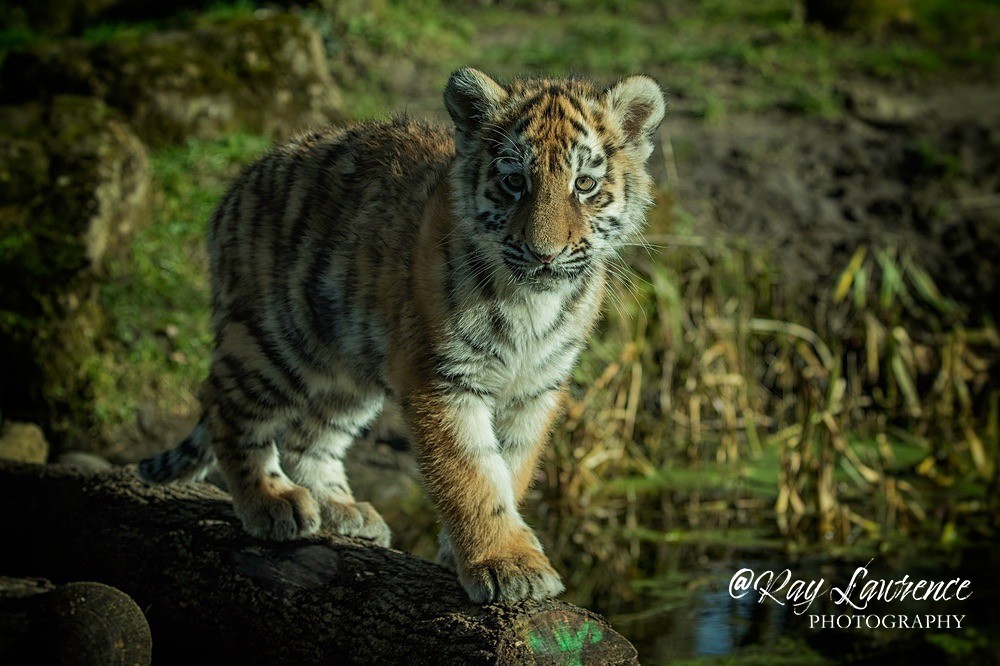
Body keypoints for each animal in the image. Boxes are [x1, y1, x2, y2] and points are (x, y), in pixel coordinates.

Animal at [139, 67, 665, 604]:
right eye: (515, 182)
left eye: (585, 185)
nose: (545, 254)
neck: (532, 303)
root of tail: (236, 187)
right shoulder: (442, 376)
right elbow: (470, 474)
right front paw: (505, 562)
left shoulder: (536, 387)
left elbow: (511, 467)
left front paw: (480, 548)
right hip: (275, 339)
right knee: (225, 407)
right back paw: (272, 503)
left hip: (349, 368)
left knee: (310, 436)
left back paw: (343, 510)